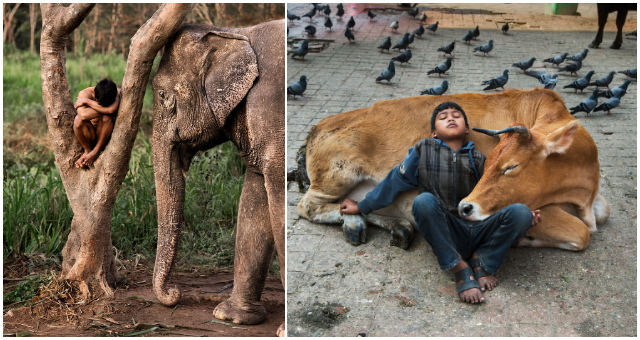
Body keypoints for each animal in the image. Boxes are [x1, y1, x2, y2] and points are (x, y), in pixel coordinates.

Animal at [151, 19, 284, 334]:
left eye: (162, 96)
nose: (175, 293)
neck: (237, 33)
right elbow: (254, 203)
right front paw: (231, 317)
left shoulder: (271, 110)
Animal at [290, 88, 608, 250]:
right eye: (492, 162)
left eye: (510, 167)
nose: (467, 207)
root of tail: (320, 125)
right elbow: (581, 233)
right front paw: (528, 239)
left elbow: (603, 213)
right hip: (338, 173)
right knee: (308, 206)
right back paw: (360, 223)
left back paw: (397, 226)